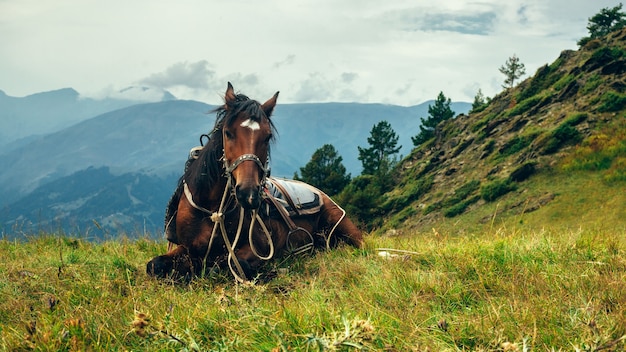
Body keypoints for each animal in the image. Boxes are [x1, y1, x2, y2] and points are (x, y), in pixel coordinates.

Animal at [146, 82, 364, 280]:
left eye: (267, 137)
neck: (212, 210)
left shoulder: (259, 247)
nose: (248, 193)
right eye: (228, 133)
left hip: (348, 232)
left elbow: (231, 263)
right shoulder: (186, 246)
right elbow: (155, 265)